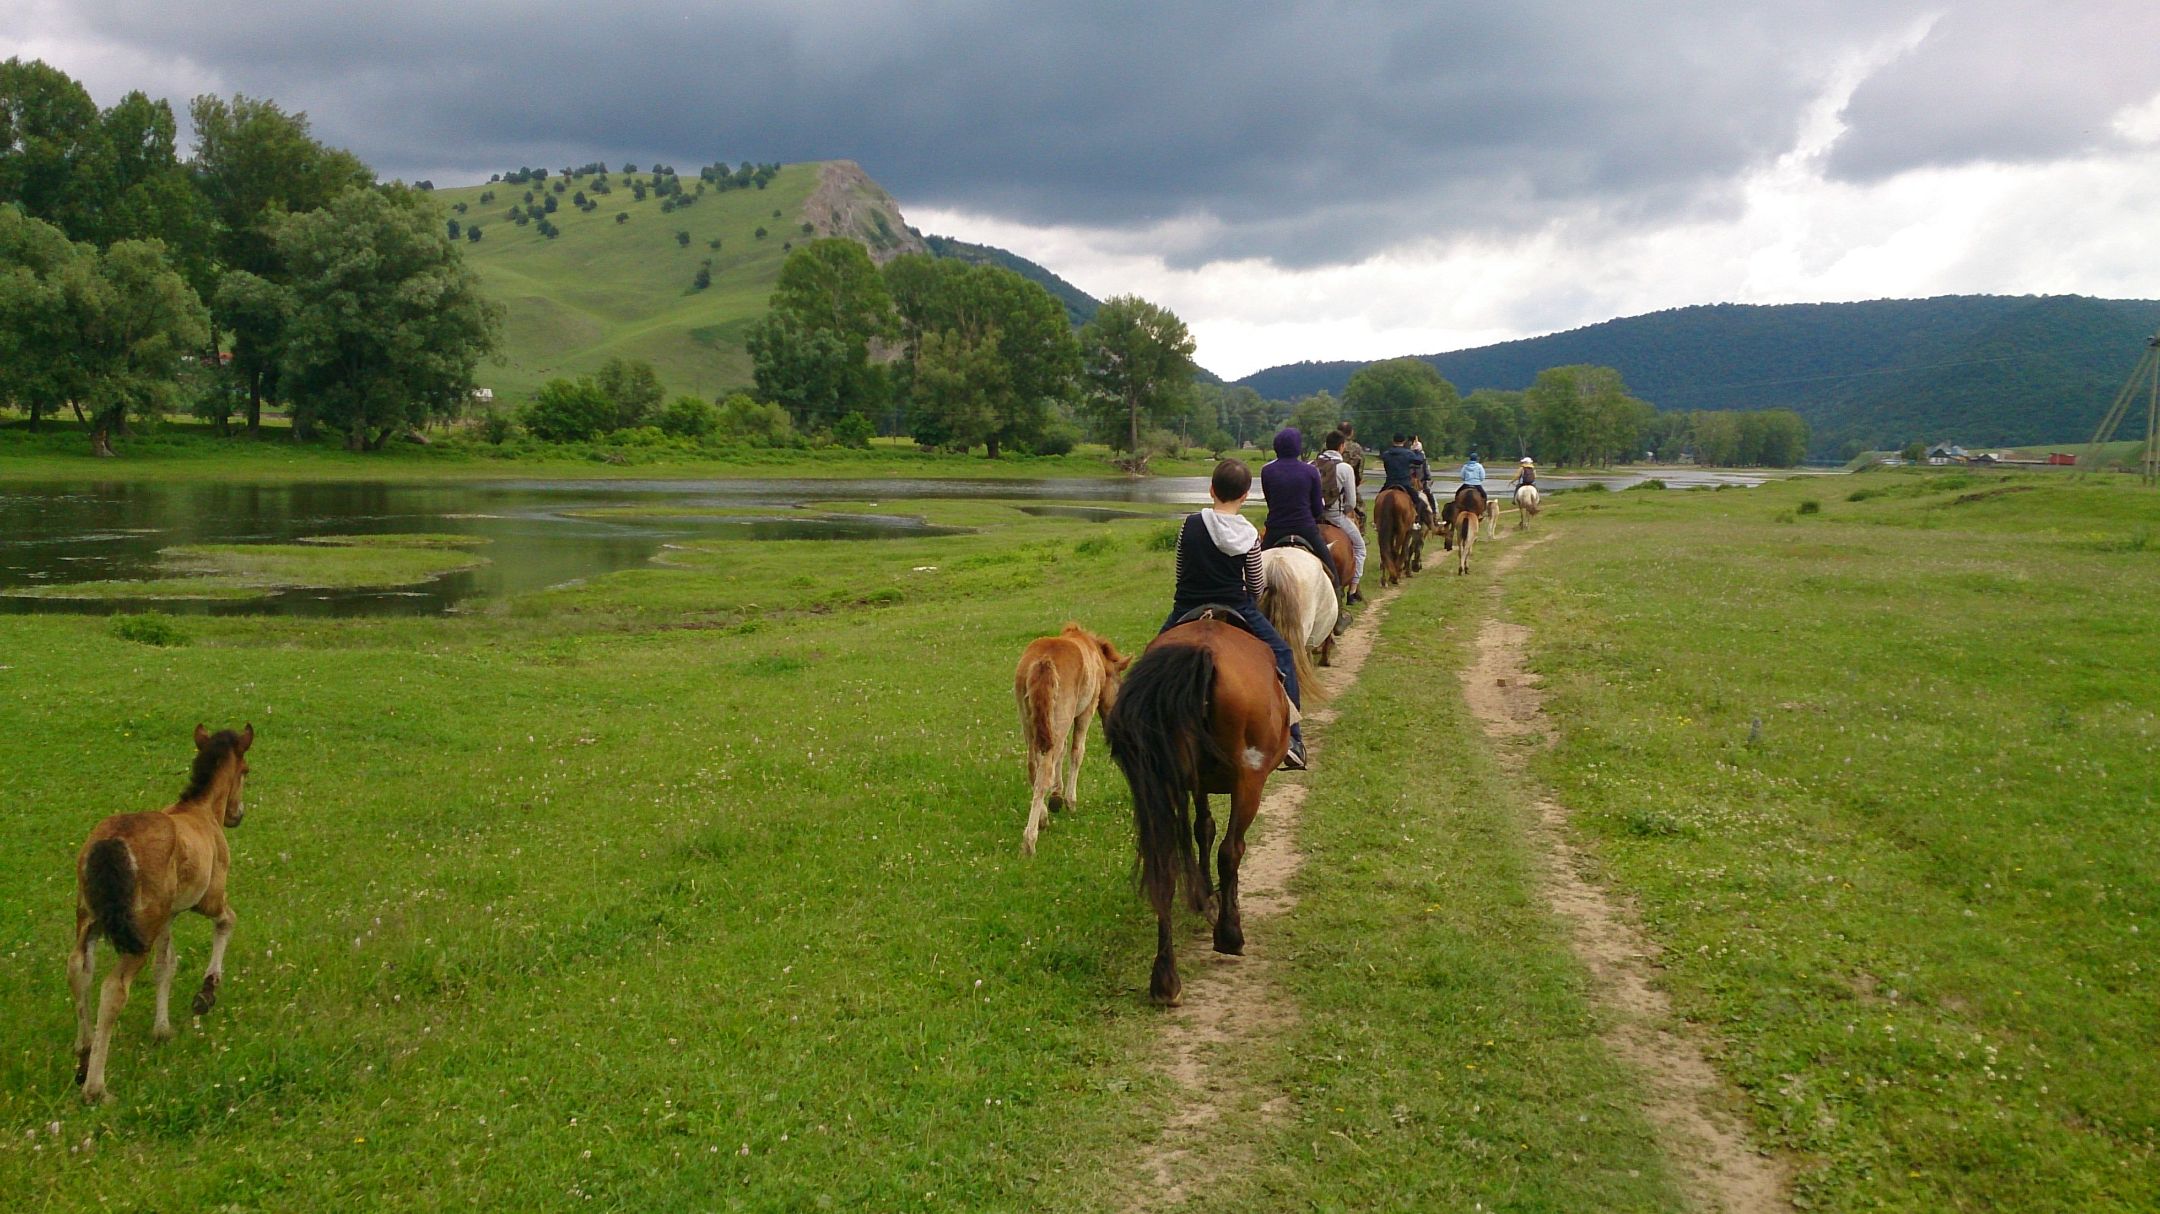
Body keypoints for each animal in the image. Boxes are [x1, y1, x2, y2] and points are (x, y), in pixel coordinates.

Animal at [69, 721, 252, 1101]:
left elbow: (165, 965)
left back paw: (84, 1053)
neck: (200, 812)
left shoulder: (168, 917)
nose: (237, 815)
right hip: (140, 932)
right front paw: (206, 993)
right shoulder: (208, 899)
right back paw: (96, 1087)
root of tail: (113, 842)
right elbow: (228, 921)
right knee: (113, 989)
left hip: (90, 920)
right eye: (246, 771)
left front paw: (162, 1029)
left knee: (79, 971)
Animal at [1015, 622, 1131, 851]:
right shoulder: (1086, 711)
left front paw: (1056, 795)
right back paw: (1031, 839)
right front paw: (1069, 801)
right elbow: (1077, 752)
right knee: (1044, 773)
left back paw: (1042, 817)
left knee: (1034, 768)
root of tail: (1044, 662)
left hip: (1031, 726)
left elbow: (1061, 754)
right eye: (1120, 686)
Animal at [1105, 613, 1287, 1002]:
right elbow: (1219, 840)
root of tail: (1203, 652)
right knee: (1231, 850)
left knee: (1166, 864)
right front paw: (1220, 907)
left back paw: (1165, 979)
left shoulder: (1197, 784)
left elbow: (1203, 828)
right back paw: (1230, 935)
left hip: (1161, 783)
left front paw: (1205, 898)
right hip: (1250, 780)